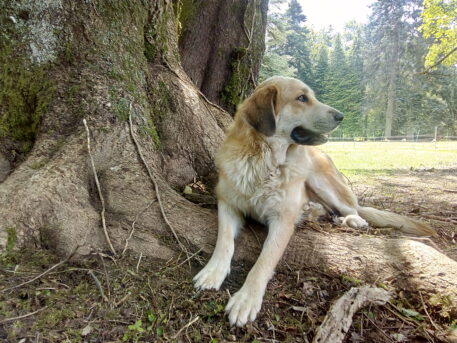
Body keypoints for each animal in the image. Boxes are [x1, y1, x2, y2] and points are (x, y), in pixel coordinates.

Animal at [191, 76, 436, 328]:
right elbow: (224, 241)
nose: (341, 116)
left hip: (321, 181)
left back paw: (352, 220)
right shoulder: (227, 203)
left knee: (353, 208)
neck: (264, 160)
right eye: (302, 98)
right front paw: (213, 271)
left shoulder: (282, 221)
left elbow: (263, 262)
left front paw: (246, 299)